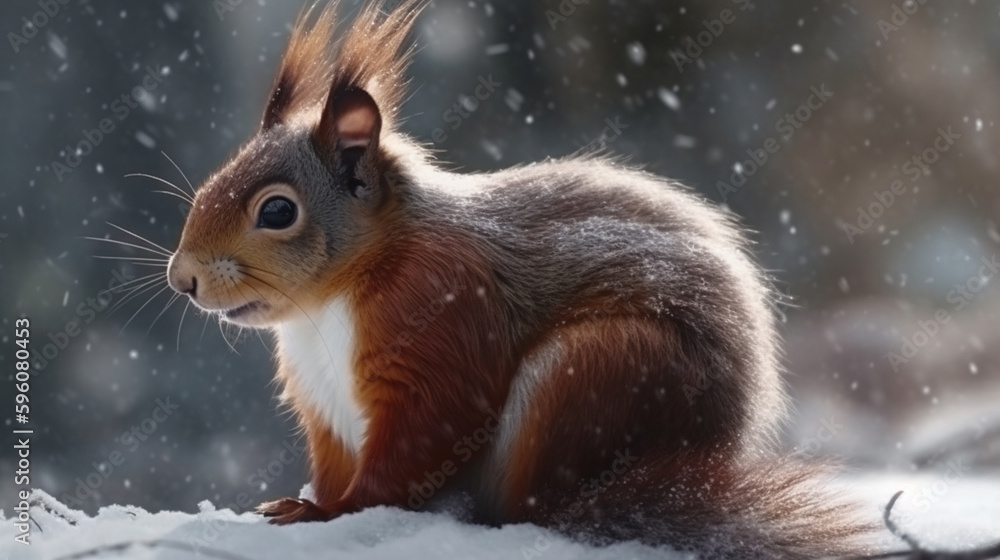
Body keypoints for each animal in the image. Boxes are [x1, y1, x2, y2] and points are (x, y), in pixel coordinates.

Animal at [165, 1, 876, 557]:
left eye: (276, 211)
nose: (182, 279)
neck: (330, 302)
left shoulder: (441, 318)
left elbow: (418, 444)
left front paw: (326, 512)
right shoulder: (324, 404)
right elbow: (335, 463)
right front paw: (308, 500)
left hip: (595, 371)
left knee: (529, 506)